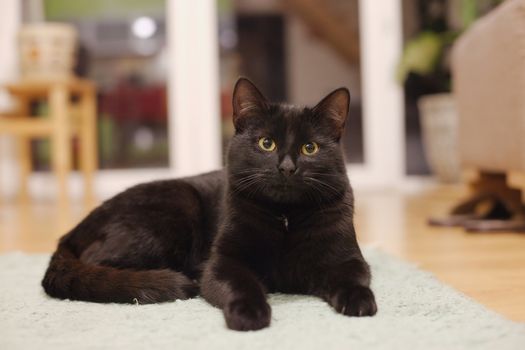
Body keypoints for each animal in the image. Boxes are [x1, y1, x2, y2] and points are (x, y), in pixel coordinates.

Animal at [43, 78, 374, 330]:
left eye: (310, 148)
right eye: (266, 143)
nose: (287, 168)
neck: (285, 217)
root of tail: (72, 232)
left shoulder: (346, 257)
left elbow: (354, 278)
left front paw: (360, 302)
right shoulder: (223, 262)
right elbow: (242, 284)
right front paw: (249, 314)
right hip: (175, 210)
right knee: (100, 263)